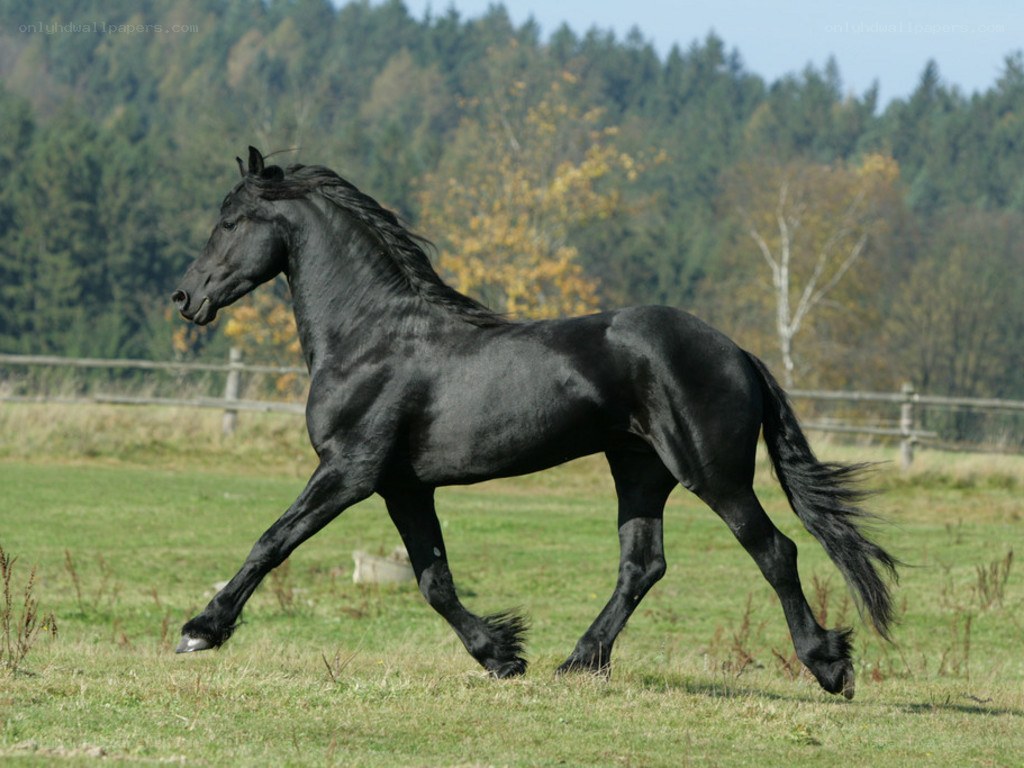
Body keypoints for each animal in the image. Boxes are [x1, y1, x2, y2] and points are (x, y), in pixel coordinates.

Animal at [171, 147, 896, 698]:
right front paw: (502, 654)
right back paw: (577, 662)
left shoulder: (349, 471)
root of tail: (738, 351)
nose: (186, 297)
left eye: (231, 221)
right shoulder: (403, 486)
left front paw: (200, 630)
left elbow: (272, 541)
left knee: (774, 551)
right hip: (639, 470)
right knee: (642, 565)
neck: (371, 337)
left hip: (714, 475)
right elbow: (434, 580)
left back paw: (829, 666)